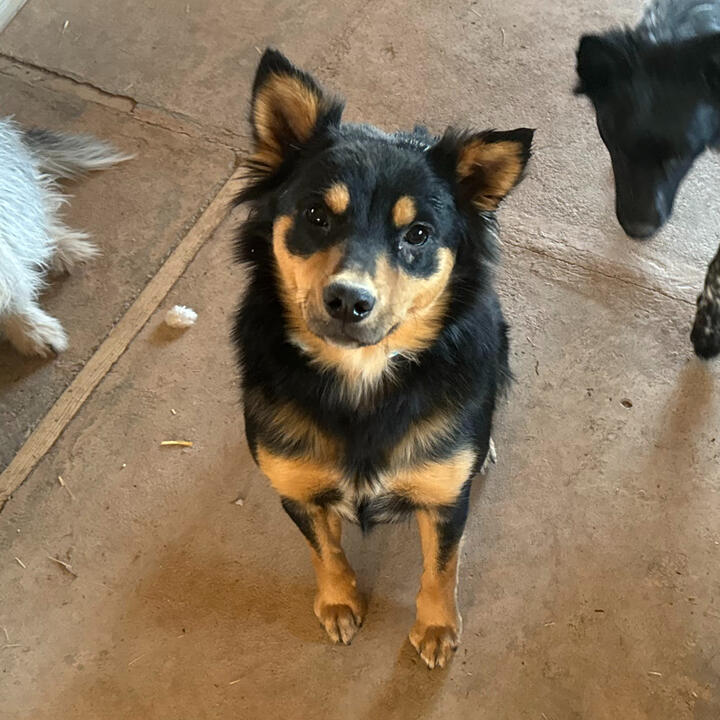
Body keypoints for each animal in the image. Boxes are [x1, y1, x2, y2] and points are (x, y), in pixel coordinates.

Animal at [233, 49, 533, 668]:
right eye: (316, 215)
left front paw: (437, 627)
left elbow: (442, 566)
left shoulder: (445, 500)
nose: (349, 301)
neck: (363, 380)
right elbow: (324, 550)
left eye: (417, 234)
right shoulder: (297, 487)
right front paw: (339, 602)